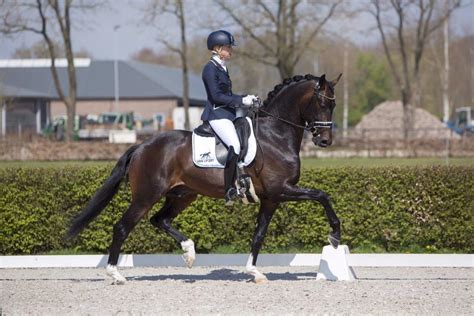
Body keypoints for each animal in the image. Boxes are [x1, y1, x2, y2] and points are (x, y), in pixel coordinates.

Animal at [67, 73, 340, 284]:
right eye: (321, 102)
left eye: (333, 105)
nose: (325, 141)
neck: (276, 135)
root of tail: (141, 146)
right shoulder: (282, 189)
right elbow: (322, 195)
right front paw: (335, 236)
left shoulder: (271, 199)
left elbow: (259, 234)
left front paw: (254, 272)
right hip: (146, 197)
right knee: (122, 227)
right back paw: (116, 274)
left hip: (183, 195)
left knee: (160, 220)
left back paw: (189, 252)